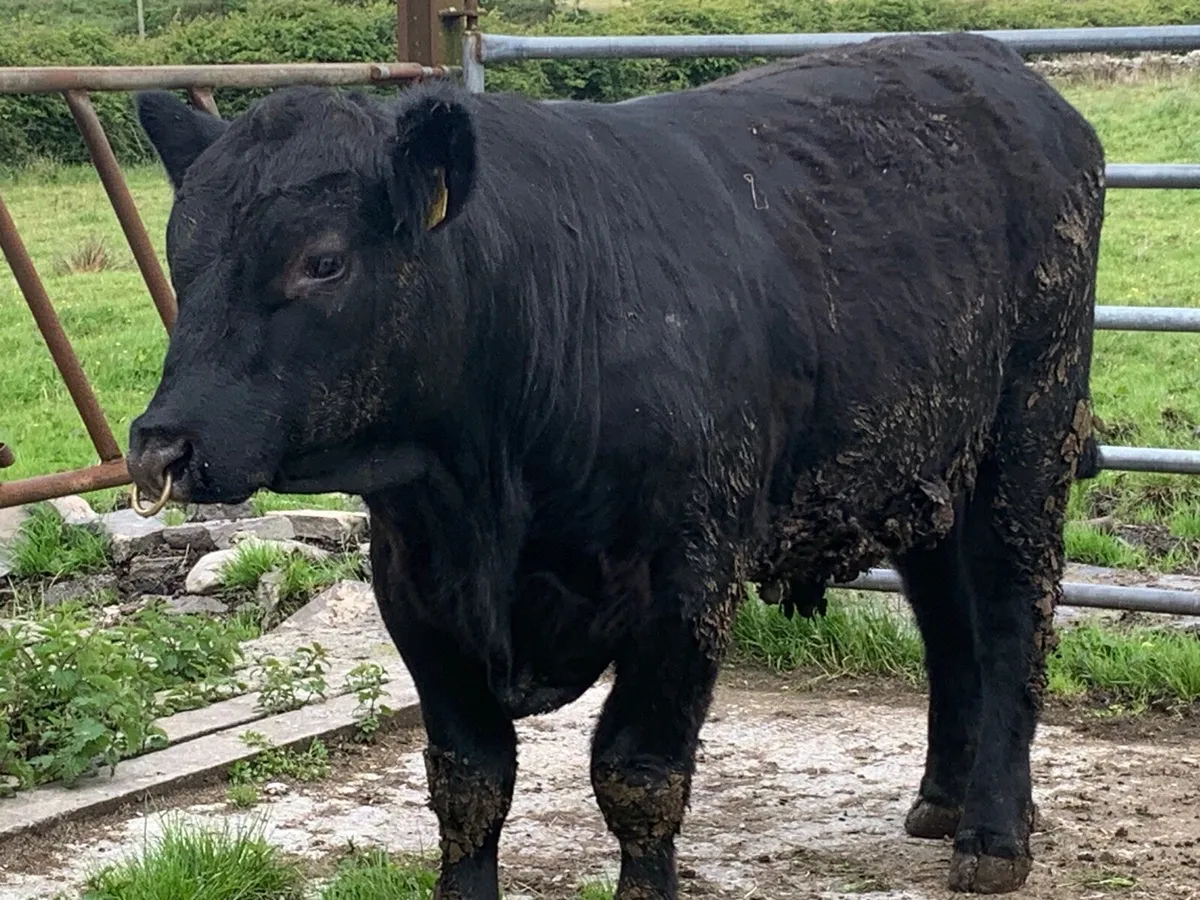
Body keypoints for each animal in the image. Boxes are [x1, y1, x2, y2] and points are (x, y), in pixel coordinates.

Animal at [126, 32, 1105, 899]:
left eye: (322, 261)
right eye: (181, 252)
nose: (160, 444)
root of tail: (999, 67)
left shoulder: (688, 585)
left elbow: (638, 776)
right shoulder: (413, 587)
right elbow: (468, 783)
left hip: (1031, 430)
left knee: (1014, 610)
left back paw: (993, 836)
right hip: (926, 462)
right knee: (948, 620)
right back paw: (942, 800)